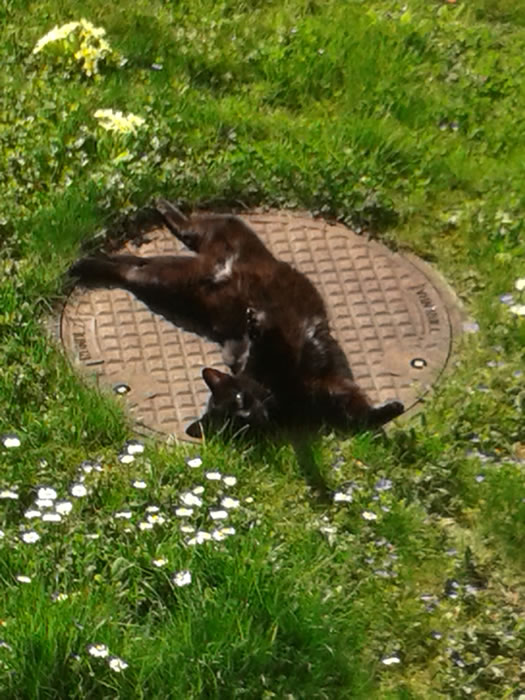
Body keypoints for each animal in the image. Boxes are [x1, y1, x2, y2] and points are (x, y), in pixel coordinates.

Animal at [69, 198, 404, 438]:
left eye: (240, 400)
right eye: (232, 422)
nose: (246, 415)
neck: (278, 391)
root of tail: (210, 265)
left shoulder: (325, 378)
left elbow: (354, 404)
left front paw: (390, 410)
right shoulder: (325, 387)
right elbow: (353, 410)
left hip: (218, 240)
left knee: (189, 229)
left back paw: (161, 206)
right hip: (164, 283)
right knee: (129, 269)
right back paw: (84, 265)